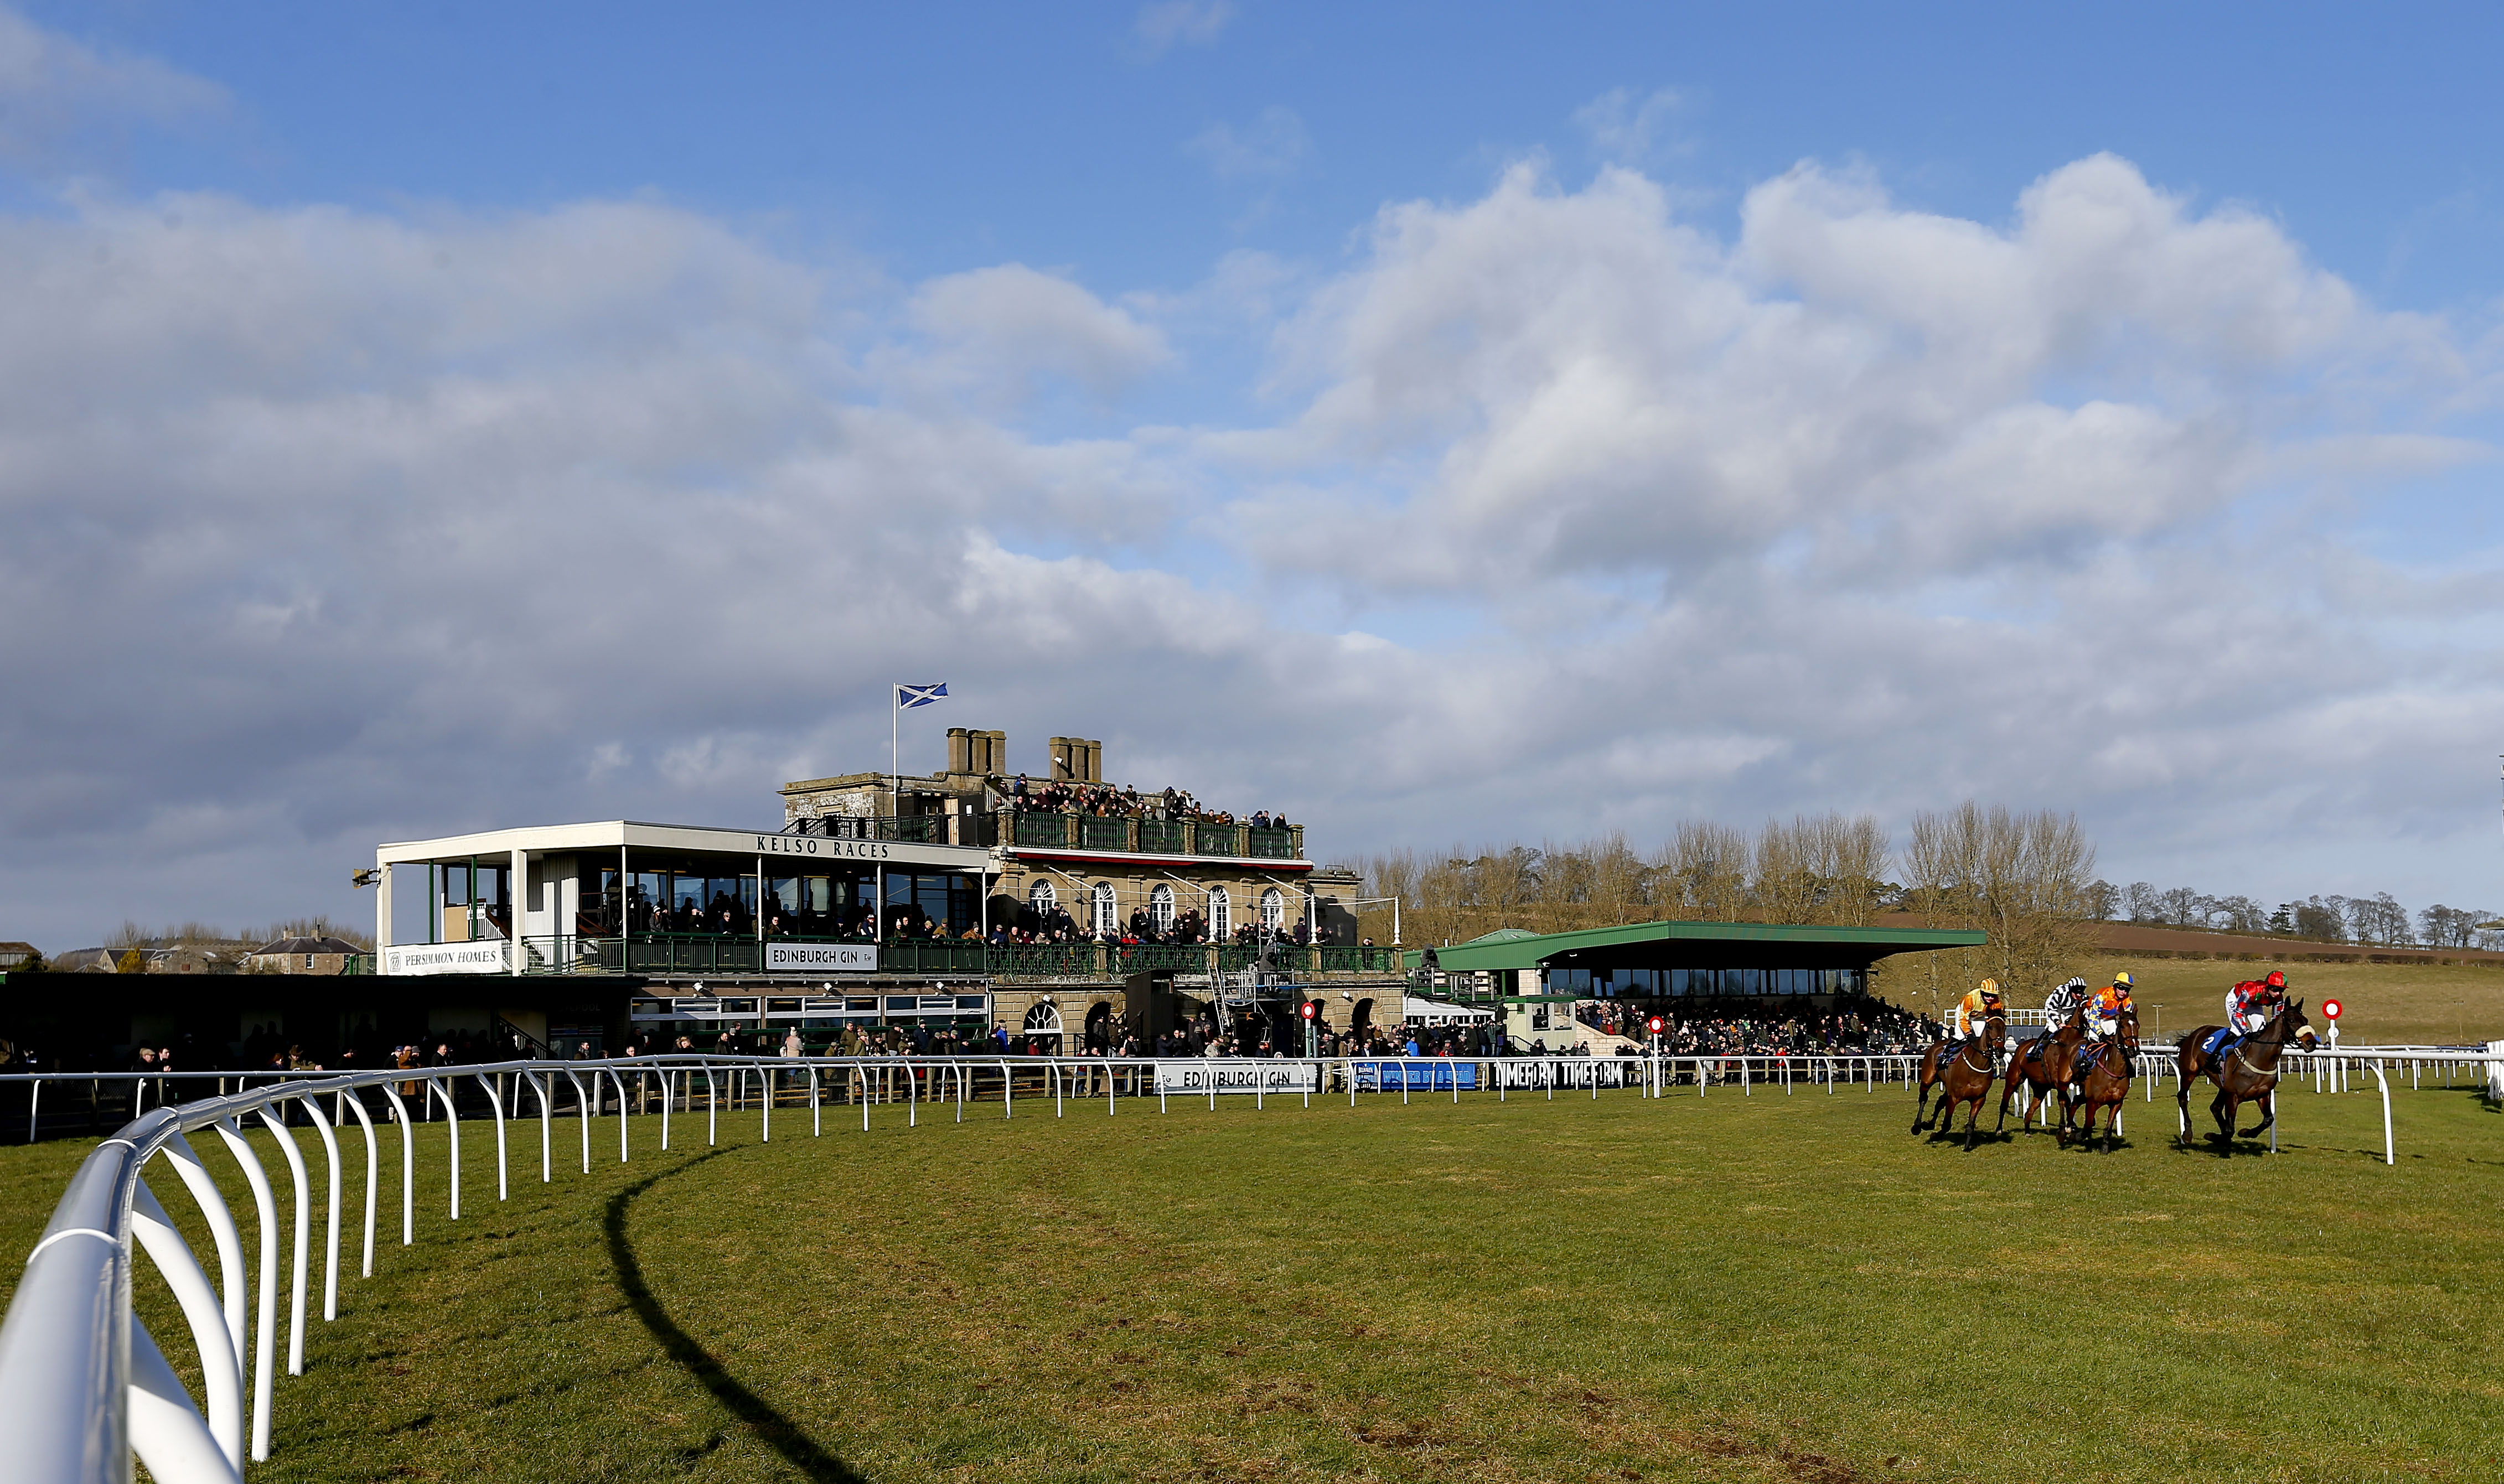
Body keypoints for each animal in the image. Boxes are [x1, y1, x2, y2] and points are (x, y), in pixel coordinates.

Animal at [1903, 1006, 2003, 1146]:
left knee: (1940, 1101)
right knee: (1923, 1098)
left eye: (2004, 1027)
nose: (2000, 1050)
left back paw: (1929, 1125)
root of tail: (1935, 1044)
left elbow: (1970, 1125)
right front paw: (1935, 1136)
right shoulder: (1954, 1098)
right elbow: (1946, 1125)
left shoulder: (1979, 1099)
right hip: (1928, 1079)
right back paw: (1917, 1126)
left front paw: (1967, 1146)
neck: (1976, 1066)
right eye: (1990, 1027)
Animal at [2003, 1006, 2083, 1136]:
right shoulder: (2058, 1081)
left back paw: (2027, 1130)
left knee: (2029, 1111)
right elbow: (2066, 1100)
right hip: (2014, 1079)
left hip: (2040, 1088)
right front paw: (2070, 1126)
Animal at [2063, 1001, 2143, 1151]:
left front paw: (2105, 1147)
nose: (2133, 1050)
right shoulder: (2092, 1102)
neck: (2113, 1070)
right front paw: (2076, 1136)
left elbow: (2108, 1128)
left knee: (2076, 1100)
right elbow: (2088, 1127)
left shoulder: (2117, 1102)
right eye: (2122, 1026)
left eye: (2137, 1026)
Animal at [2173, 996, 2304, 1156]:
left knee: (2215, 1107)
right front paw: (2214, 1137)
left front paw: (2243, 1133)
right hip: (2189, 1072)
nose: (2311, 1042)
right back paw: (2187, 1134)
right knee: (2182, 1097)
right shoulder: (2233, 1096)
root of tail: (2195, 1033)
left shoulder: (2262, 1094)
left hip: (2222, 1086)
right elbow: (2230, 1129)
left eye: (2305, 1020)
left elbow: (2268, 1119)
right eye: (2291, 1020)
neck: (2259, 1057)